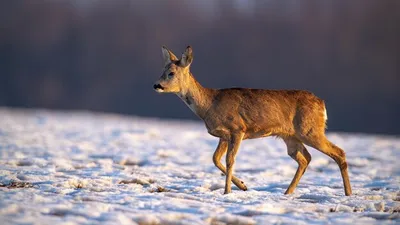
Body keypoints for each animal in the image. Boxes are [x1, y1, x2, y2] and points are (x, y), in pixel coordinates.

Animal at [152, 45, 352, 195]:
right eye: (162, 70)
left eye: (171, 73)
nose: (156, 85)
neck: (209, 105)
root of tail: (322, 104)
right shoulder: (223, 135)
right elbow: (215, 159)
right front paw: (243, 185)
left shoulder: (237, 128)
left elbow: (229, 160)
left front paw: (228, 192)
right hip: (291, 137)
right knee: (305, 159)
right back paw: (287, 192)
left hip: (310, 130)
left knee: (339, 152)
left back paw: (348, 193)